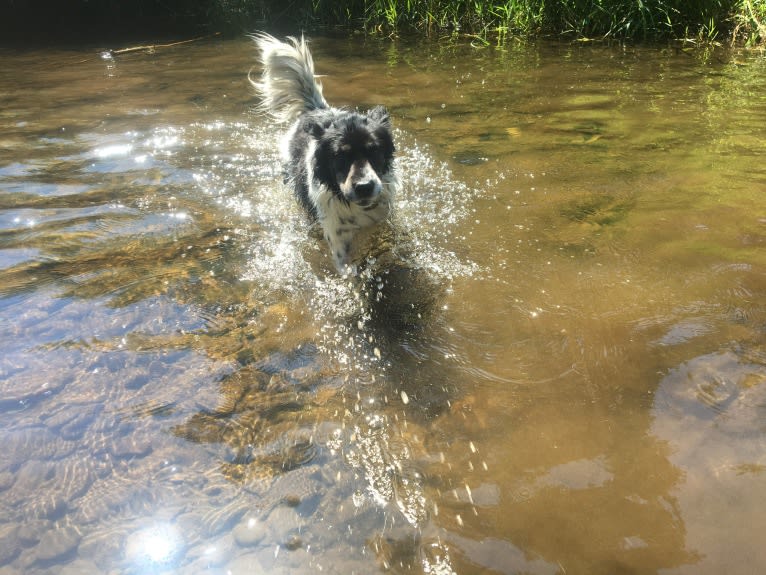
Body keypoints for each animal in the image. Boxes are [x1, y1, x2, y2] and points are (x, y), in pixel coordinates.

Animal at [254, 34, 402, 276]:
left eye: (375, 151)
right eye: (339, 157)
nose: (364, 187)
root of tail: (316, 109)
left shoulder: (383, 219)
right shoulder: (338, 240)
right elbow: (349, 270)